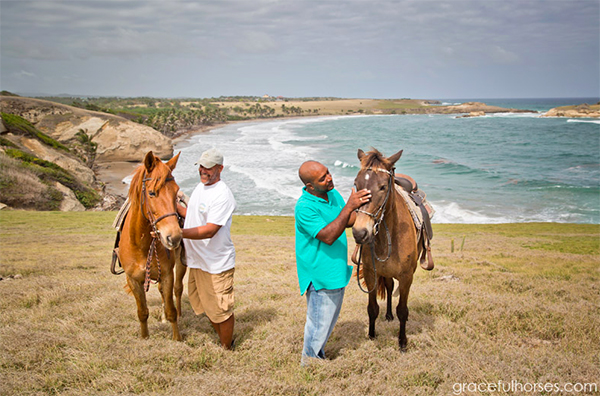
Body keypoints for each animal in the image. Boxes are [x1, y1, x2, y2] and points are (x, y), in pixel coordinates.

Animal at [115, 152, 185, 340]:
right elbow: (142, 312)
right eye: (152, 193)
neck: (141, 245)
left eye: (176, 193)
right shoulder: (133, 280)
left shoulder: (167, 274)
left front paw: (177, 339)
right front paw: (144, 337)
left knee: (177, 289)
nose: (174, 237)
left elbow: (171, 310)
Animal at [350, 148, 420, 350]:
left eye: (382, 187)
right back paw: (388, 314)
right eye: (357, 184)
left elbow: (403, 310)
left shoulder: (406, 277)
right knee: (389, 287)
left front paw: (402, 342)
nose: (360, 232)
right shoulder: (370, 273)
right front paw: (372, 335)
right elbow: (372, 308)